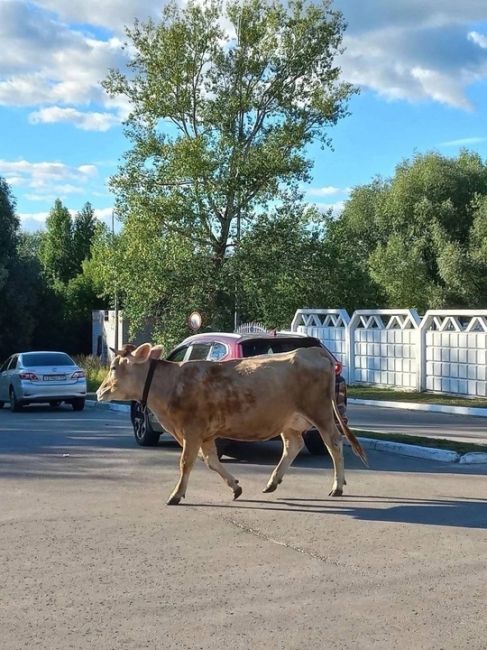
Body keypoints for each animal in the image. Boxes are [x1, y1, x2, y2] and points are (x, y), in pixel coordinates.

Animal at [97, 342, 368, 504]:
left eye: (114, 367)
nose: (99, 391)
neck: (170, 384)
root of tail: (312, 350)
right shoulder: (205, 434)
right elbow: (211, 462)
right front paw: (235, 487)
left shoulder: (191, 430)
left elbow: (186, 463)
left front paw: (176, 494)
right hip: (289, 420)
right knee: (293, 445)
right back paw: (272, 482)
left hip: (320, 412)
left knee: (333, 443)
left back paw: (337, 486)